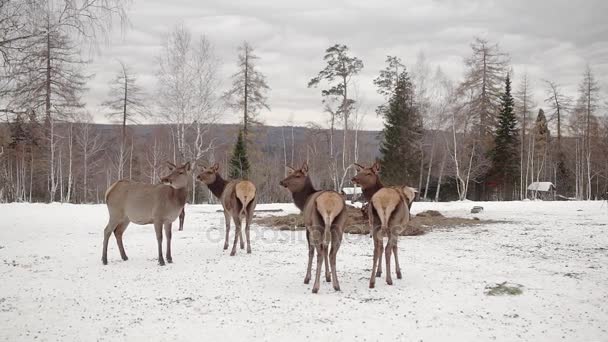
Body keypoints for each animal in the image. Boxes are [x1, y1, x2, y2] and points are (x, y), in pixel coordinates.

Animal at [280, 162, 346, 294]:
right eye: (290, 173)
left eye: (297, 175)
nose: (282, 181)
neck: (303, 202)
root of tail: (329, 205)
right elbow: (326, 248)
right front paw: (328, 276)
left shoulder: (307, 228)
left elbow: (310, 251)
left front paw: (307, 278)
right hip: (338, 226)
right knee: (332, 253)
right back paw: (336, 285)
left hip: (317, 226)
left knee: (318, 253)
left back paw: (315, 287)